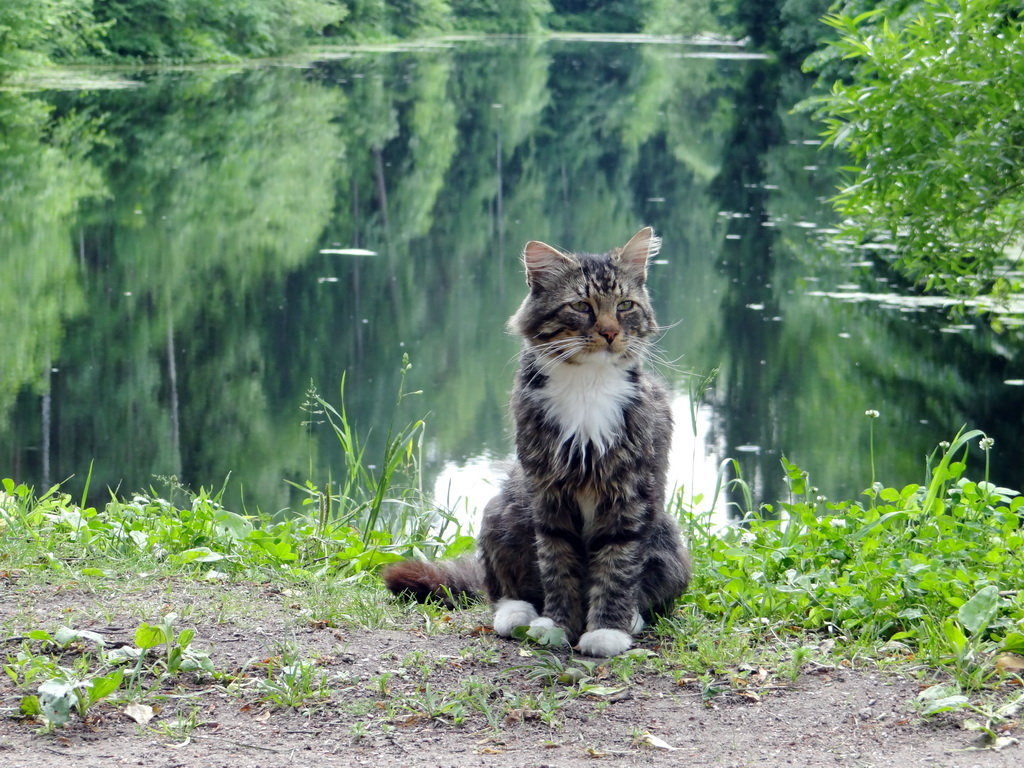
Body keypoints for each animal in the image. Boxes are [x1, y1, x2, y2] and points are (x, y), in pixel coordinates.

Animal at [382, 225, 688, 659]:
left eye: (625, 305)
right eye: (582, 306)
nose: (611, 332)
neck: (587, 387)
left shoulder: (629, 495)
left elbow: (617, 566)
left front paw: (606, 631)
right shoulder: (548, 495)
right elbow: (557, 568)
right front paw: (557, 627)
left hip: (666, 537)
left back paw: (631, 618)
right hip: (503, 511)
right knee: (501, 588)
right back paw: (518, 615)